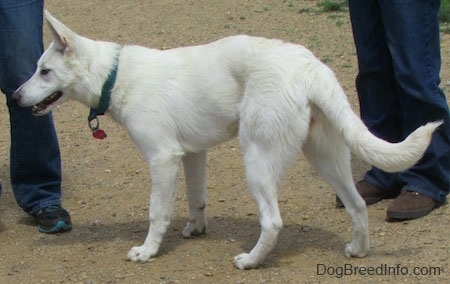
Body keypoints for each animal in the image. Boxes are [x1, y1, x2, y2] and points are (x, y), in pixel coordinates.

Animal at [13, 10, 440, 268]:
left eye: (45, 71)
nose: (14, 98)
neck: (115, 76)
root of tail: (309, 67)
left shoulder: (162, 159)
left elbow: (157, 212)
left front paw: (148, 251)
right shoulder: (191, 155)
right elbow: (196, 199)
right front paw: (195, 230)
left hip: (257, 157)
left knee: (273, 221)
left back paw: (251, 261)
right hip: (326, 158)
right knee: (357, 205)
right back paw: (358, 250)